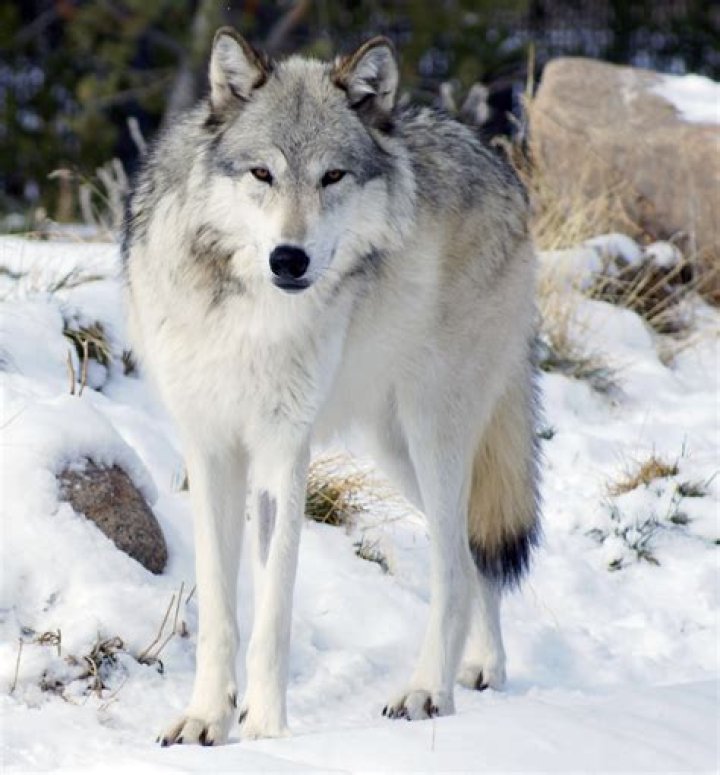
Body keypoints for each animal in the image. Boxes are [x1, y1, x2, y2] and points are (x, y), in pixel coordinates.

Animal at [123, 26, 540, 746]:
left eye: (332, 176)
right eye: (262, 174)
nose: (289, 258)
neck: (249, 314)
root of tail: (500, 166)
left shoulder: (283, 451)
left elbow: (272, 612)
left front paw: (266, 733)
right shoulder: (210, 448)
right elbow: (221, 609)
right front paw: (207, 720)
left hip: (434, 432)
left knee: (454, 566)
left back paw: (426, 690)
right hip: (396, 447)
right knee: (469, 554)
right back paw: (483, 666)